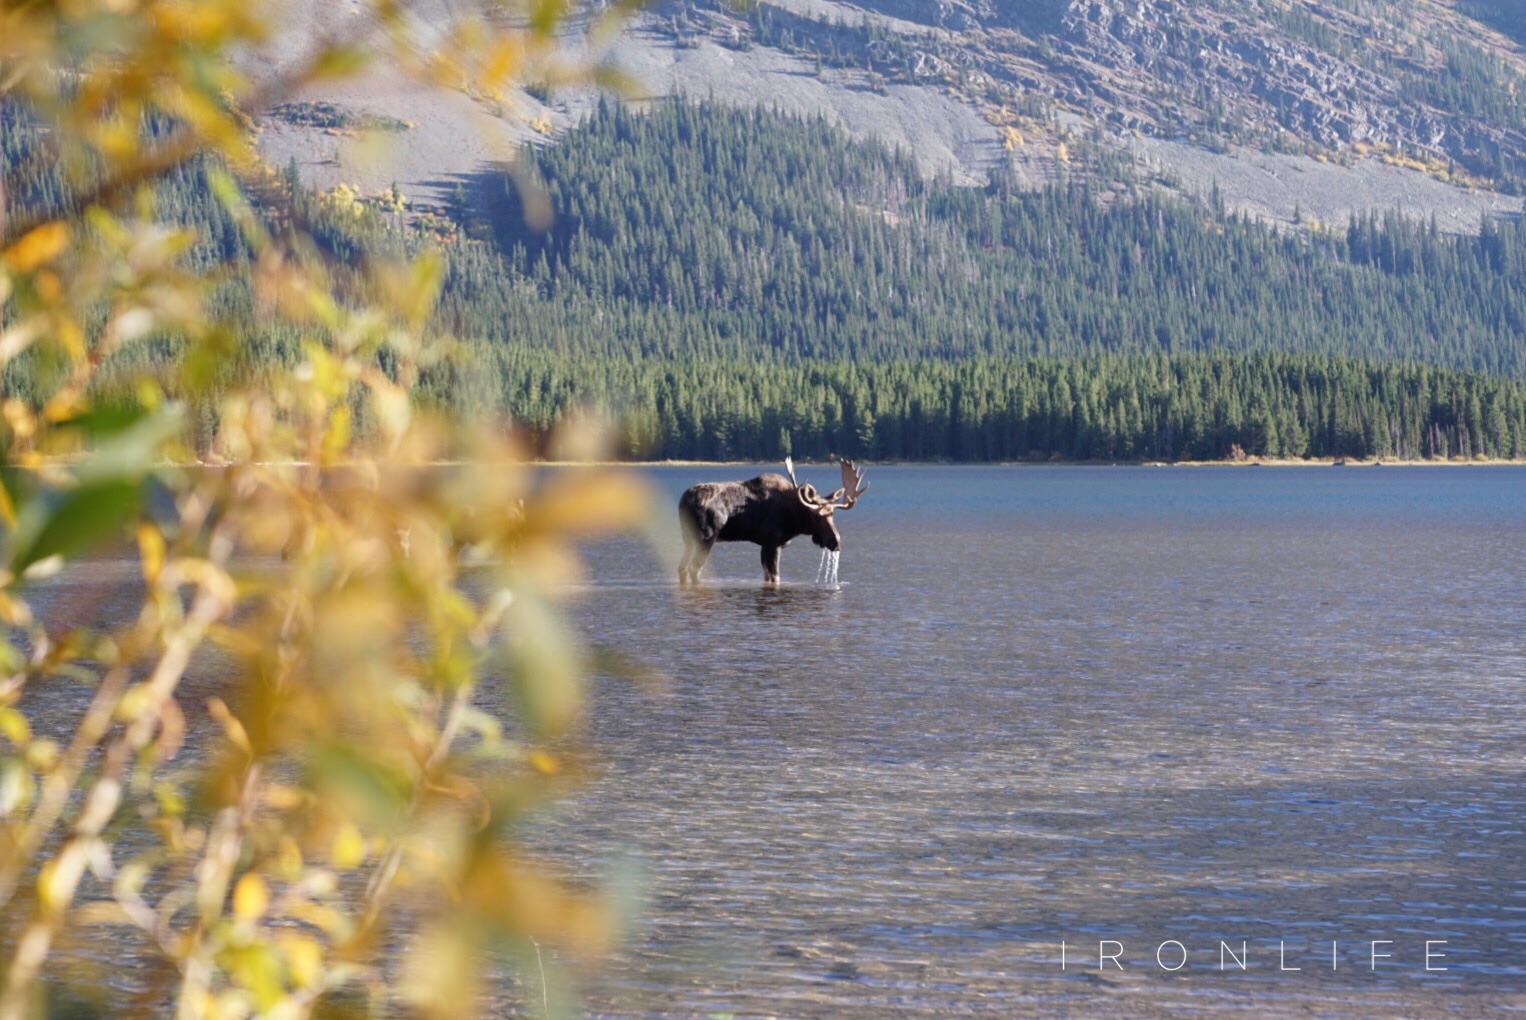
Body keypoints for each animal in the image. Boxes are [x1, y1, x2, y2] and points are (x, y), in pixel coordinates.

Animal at [680, 458, 872, 586]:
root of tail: (682, 501)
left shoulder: (764, 544)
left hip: (688, 539)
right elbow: (776, 577)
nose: (835, 542)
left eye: (833, 514)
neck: (794, 519)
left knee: (682, 568)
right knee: (695, 569)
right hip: (706, 537)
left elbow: (767, 575)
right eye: (816, 516)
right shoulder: (772, 542)